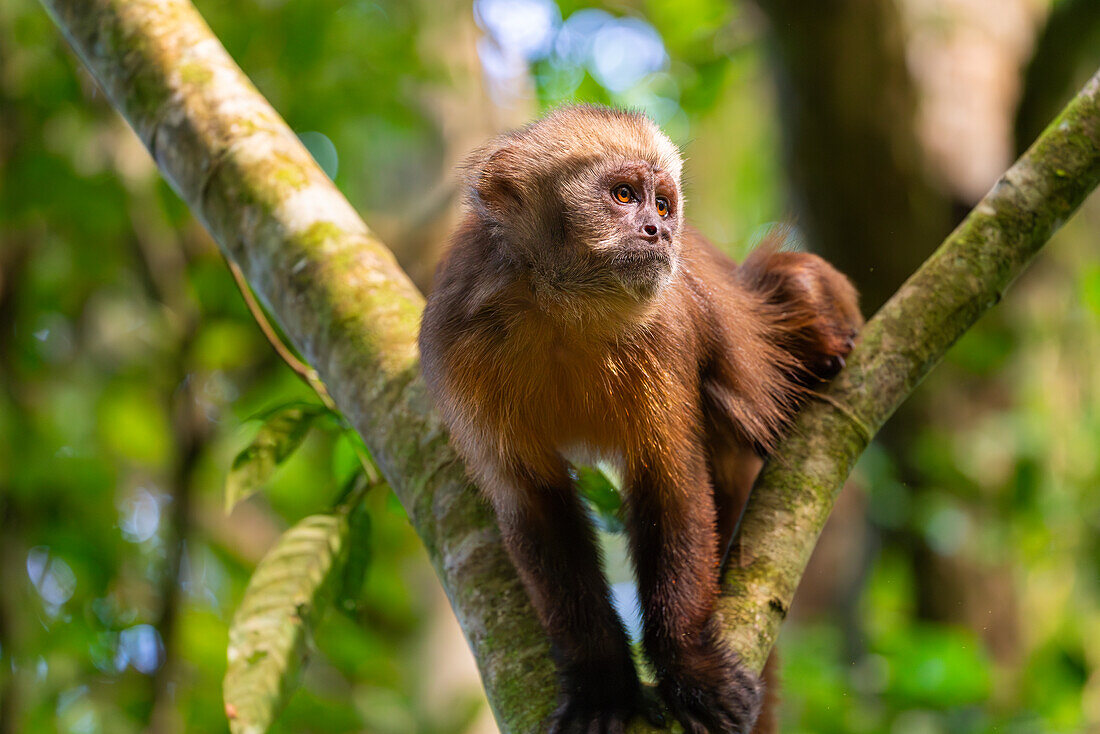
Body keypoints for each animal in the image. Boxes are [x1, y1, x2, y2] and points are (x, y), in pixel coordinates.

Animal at [415, 104, 862, 734]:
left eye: (664, 205)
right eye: (624, 195)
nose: (660, 231)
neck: (560, 311)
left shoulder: (663, 329)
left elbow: (669, 483)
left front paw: (689, 666)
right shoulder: (458, 339)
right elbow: (533, 503)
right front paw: (602, 686)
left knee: (792, 285)